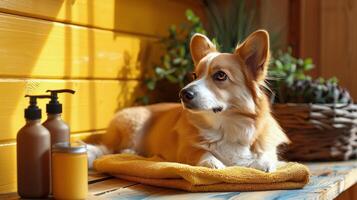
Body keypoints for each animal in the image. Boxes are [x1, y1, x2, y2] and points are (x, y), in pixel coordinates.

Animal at [88, 29, 290, 172]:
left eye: (220, 75)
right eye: (194, 75)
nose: (183, 94)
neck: (226, 126)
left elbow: (267, 158)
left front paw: (262, 163)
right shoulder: (186, 149)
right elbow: (201, 151)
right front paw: (214, 163)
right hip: (134, 123)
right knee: (110, 148)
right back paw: (129, 152)